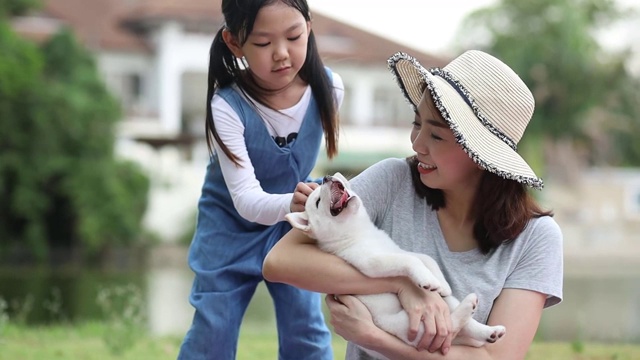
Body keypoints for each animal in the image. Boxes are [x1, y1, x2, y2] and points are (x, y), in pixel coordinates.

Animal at [288, 173, 508, 358]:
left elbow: (425, 258)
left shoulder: (397, 249)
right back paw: (469, 309)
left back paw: (489, 331)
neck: (359, 231)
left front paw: (442, 283)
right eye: (317, 202)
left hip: (446, 305)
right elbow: (410, 261)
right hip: (408, 326)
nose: (326, 177)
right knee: (452, 325)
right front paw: (427, 280)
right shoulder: (372, 262)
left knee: (463, 322)